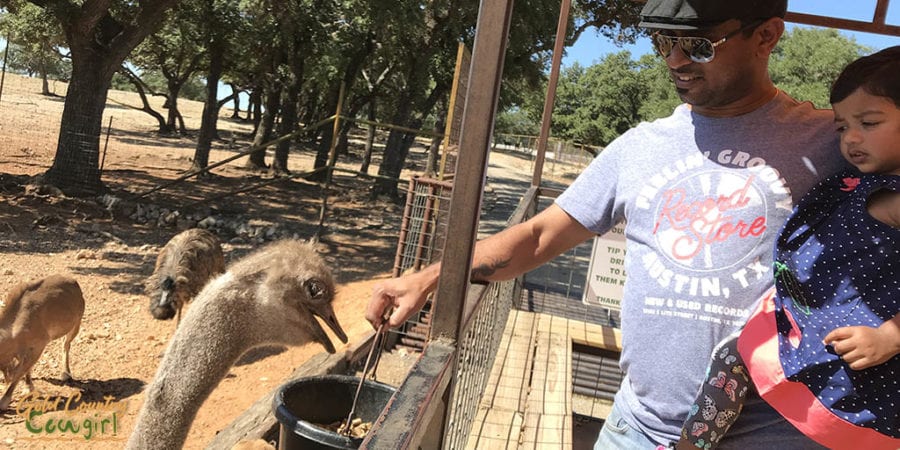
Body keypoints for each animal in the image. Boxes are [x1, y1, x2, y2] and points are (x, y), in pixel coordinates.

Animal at [0, 274, 83, 412]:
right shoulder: (24, 351)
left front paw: (4, 401)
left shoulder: (39, 346)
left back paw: (66, 373)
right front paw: (28, 387)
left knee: (66, 345)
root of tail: (74, 282)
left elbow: (20, 372)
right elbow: (26, 370)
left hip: (76, 324)